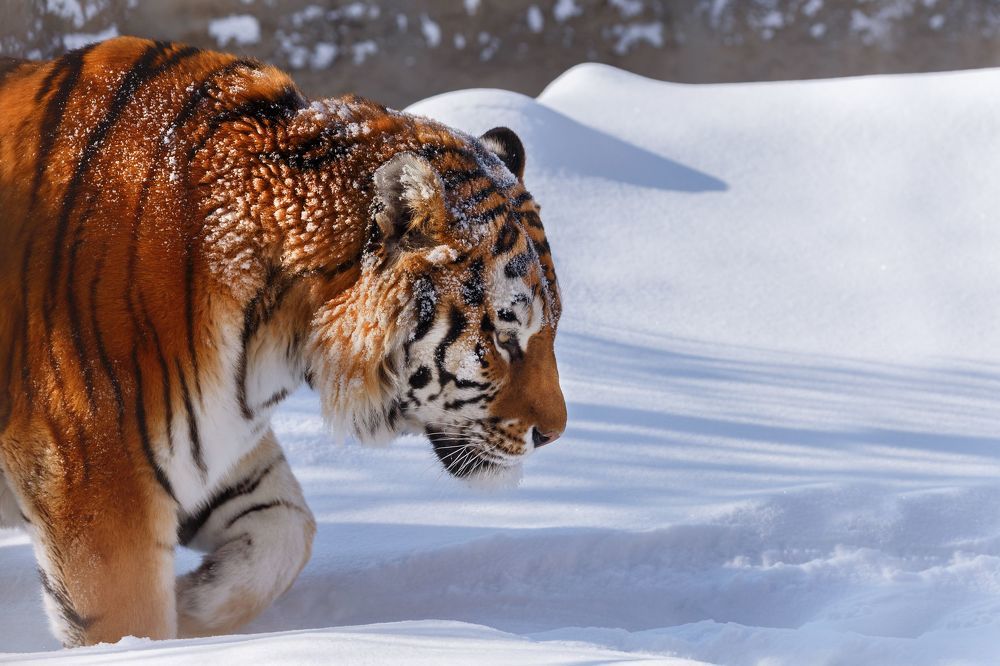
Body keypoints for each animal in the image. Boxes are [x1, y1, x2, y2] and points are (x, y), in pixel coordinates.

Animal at [0, 37, 566, 647]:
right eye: (506, 336)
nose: (554, 435)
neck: (273, 337)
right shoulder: (103, 475)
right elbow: (130, 623)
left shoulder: (217, 442)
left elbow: (290, 530)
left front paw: (196, 605)